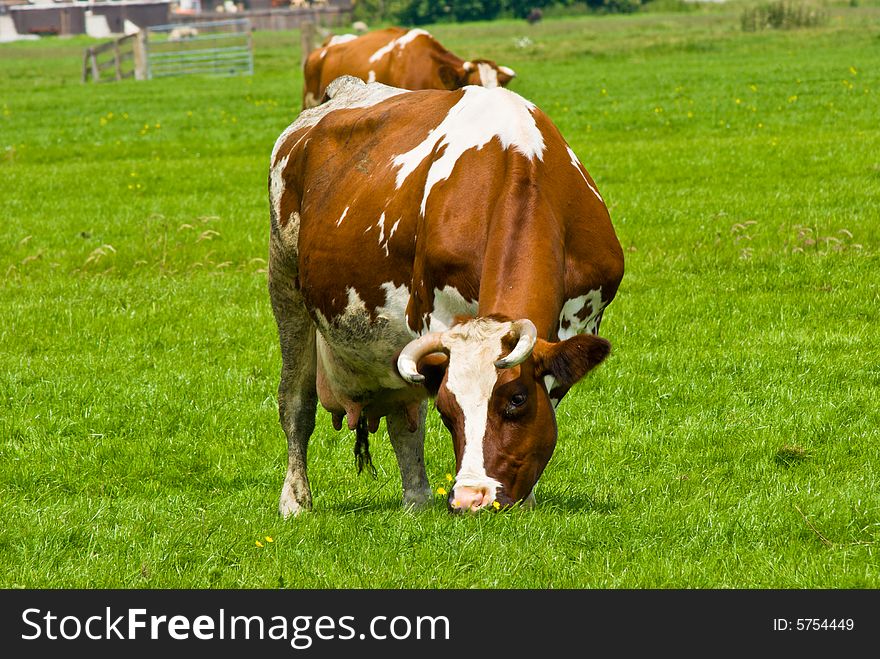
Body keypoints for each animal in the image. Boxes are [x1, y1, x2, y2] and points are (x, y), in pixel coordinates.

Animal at [270, 77, 624, 520]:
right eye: (447, 409)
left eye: (516, 399)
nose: (472, 498)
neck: (523, 164)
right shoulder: (435, 320)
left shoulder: (582, 319)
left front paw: (526, 499)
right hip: (285, 281)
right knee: (298, 402)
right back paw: (295, 500)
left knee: (403, 417)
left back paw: (416, 501)